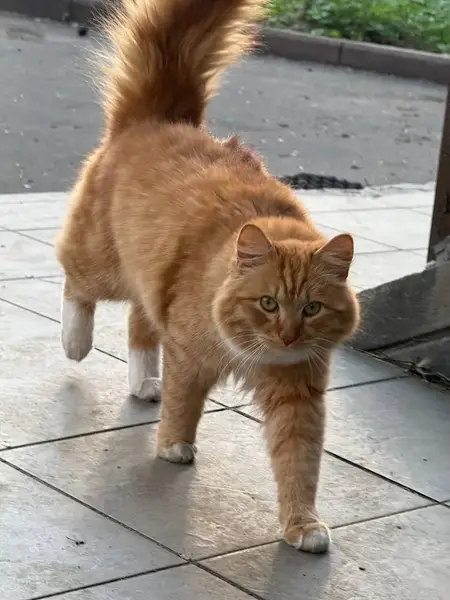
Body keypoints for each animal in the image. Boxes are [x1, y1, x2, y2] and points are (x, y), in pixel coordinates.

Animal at [56, 0, 359, 554]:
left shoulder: (298, 392)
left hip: (147, 280)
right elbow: (183, 404)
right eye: (267, 303)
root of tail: (160, 117)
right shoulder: (188, 353)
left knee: (137, 325)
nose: (287, 336)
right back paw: (76, 342)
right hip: (104, 263)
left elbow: (299, 463)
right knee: (76, 285)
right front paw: (174, 446)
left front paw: (302, 524)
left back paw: (142, 381)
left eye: (311, 309)